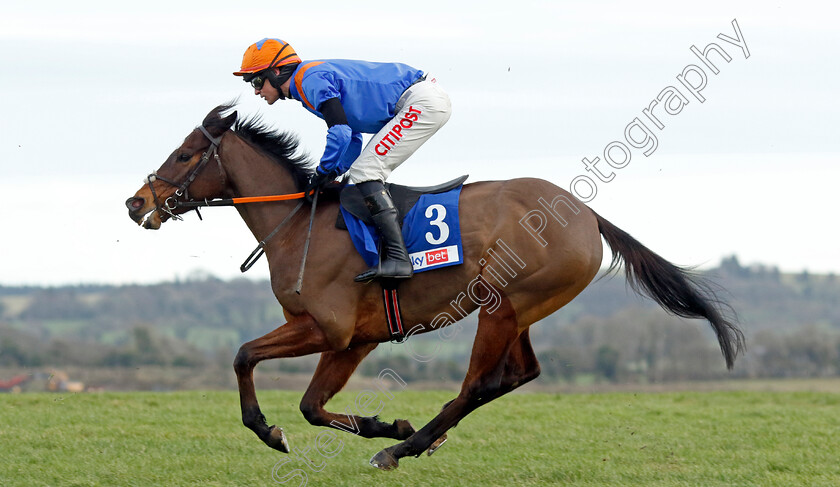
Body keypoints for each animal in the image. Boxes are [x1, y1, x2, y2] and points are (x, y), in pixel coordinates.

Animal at [123, 104, 740, 472]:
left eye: (183, 154)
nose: (135, 202)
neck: (301, 224)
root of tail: (586, 214)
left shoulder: (327, 329)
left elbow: (244, 356)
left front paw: (271, 431)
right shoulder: (355, 340)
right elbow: (311, 405)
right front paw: (383, 422)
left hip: (502, 306)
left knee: (481, 383)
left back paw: (405, 447)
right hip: (520, 310)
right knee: (519, 374)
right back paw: (417, 435)